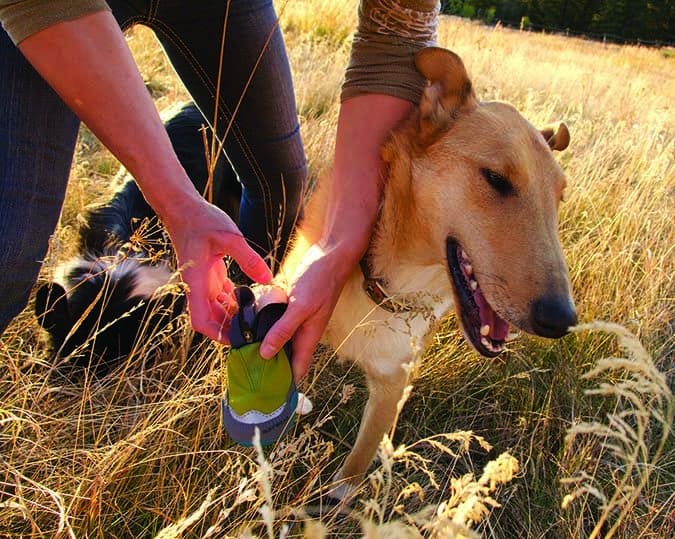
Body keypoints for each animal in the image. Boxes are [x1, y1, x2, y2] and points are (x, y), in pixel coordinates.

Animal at [256, 47, 572, 502]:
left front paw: (336, 502)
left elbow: (354, 468)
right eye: (497, 179)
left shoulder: (392, 383)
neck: (387, 283)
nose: (562, 319)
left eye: (560, 197)